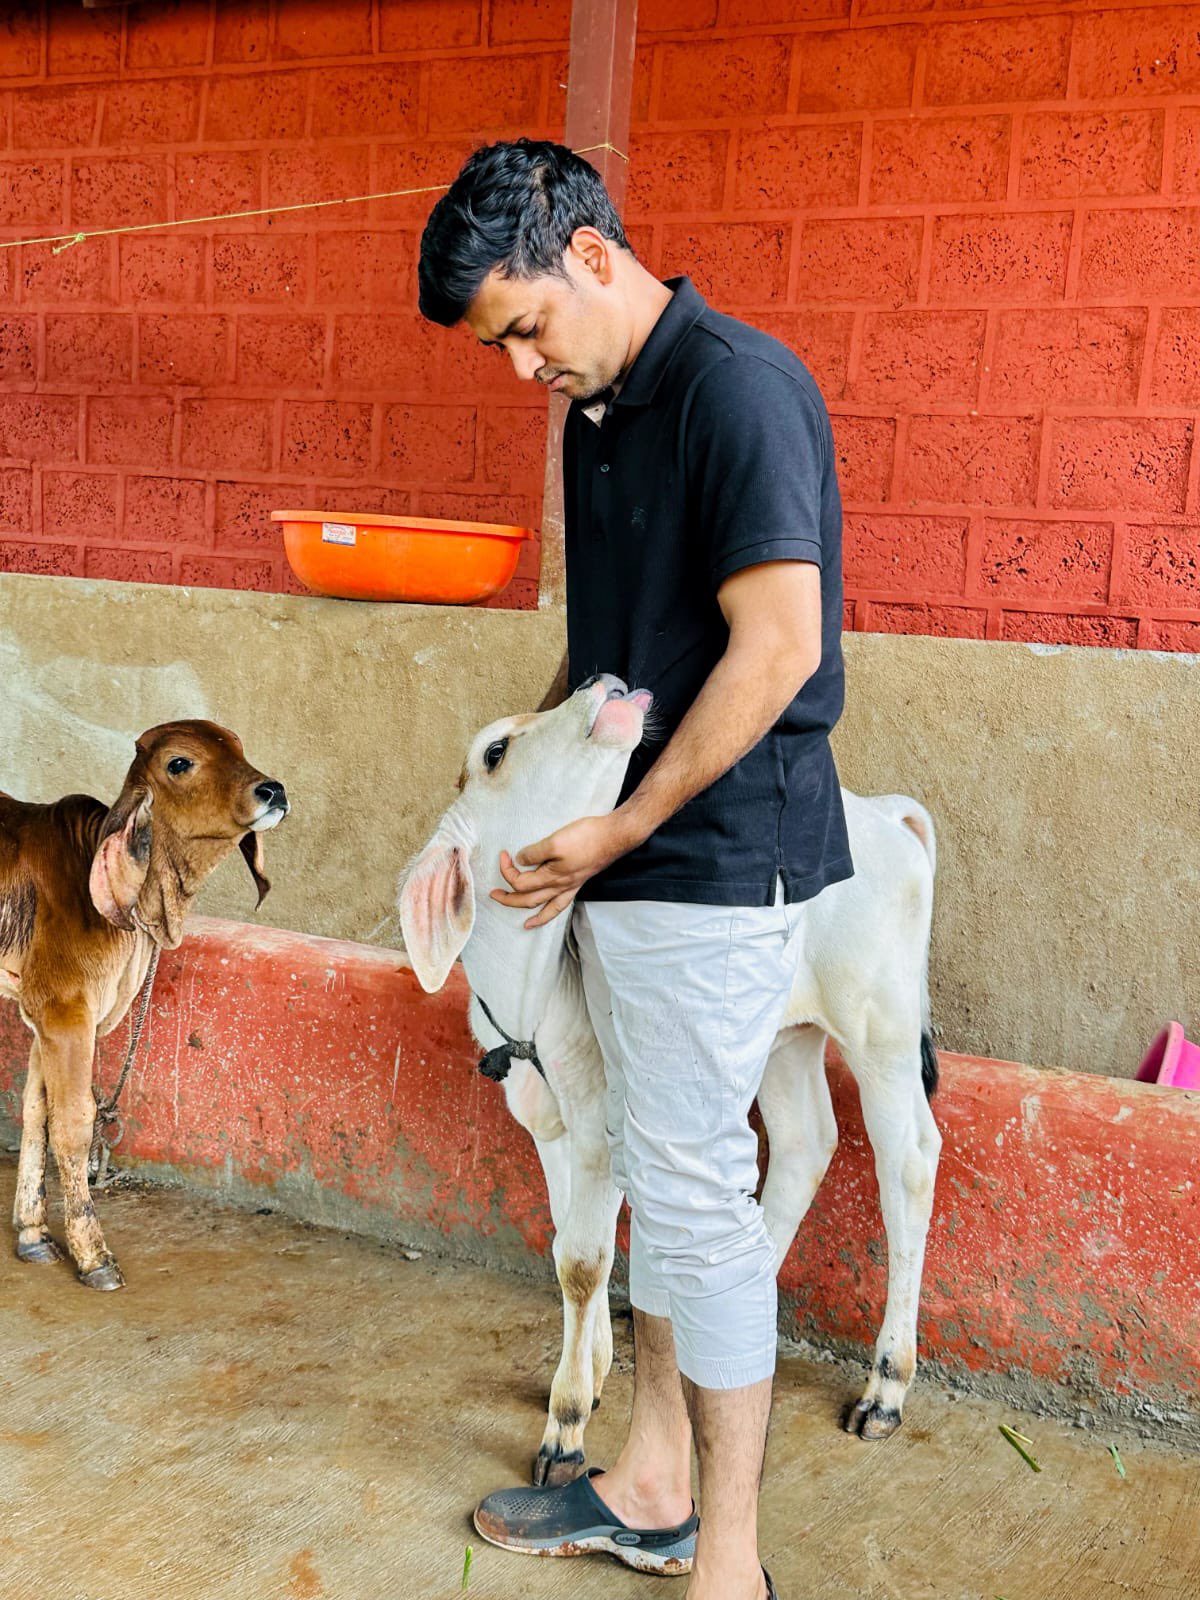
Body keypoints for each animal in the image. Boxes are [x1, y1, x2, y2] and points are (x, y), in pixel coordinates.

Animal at [0, 723, 289, 1286]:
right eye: (179, 763)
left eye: (240, 749)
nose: (273, 791)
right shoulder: (66, 1012)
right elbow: (73, 1123)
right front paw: (92, 1255)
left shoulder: (43, 1014)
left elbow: (36, 1111)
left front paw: (34, 1235)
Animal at [400, 675, 947, 1484]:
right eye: (497, 750)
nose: (602, 681)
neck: (531, 994)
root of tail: (884, 814)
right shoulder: (548, 1122)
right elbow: (567, 1236)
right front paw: (595, 1369)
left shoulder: (602, 1123)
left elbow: (582, 1260)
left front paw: (566, 1427)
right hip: (786, 1036)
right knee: (805, 1142)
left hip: (880, 1023)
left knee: (906, 1160)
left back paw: (886, 1385)